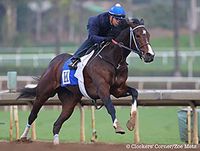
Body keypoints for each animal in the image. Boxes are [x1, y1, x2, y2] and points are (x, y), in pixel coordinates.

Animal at [17, 18, 155, 145]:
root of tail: (52, 63)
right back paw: (23, 137)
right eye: (137, 35)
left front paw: (131, 122)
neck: (113, 60)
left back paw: (55, 143)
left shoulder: (118, 90)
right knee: (33, 115)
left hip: (70, 100)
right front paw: (118, 126)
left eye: (148, 35)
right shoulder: (102, 89)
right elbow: (111, 107)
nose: (150, 55)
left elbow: (135, 93)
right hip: (44, 92)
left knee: (57, 123)